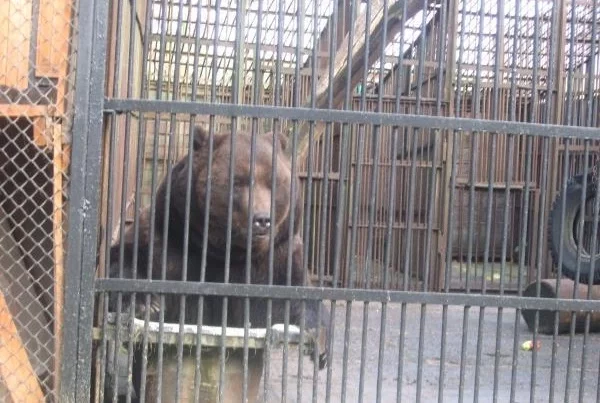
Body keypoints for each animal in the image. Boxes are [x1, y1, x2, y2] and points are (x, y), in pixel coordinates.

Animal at [105, 127, 328, 400]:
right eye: (239, 182)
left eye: (274, 183)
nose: (262, 220)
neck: (226, 252)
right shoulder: (169, 240)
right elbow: (126, 260)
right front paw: (145, 304)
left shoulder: (276, 256)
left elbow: (295, 294)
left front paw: (319, 342)